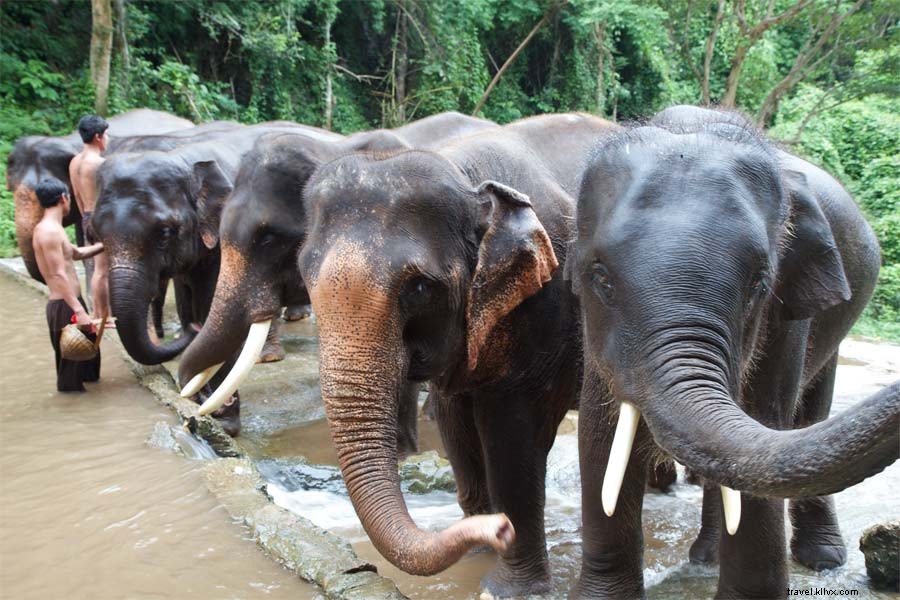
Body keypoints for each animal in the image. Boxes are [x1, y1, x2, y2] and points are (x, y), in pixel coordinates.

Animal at [274, 113, 615, 596]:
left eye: (418, 288)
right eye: (305, 275)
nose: (500, 528)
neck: (464, 174)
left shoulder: (543, 305)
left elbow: (512, 439)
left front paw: (507, 588)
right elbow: (455, 425)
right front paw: (479, 550)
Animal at [566, 105, 899, 599]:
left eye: (759, 284)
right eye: (600, 277)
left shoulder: (785, 316)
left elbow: (765, 421)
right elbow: (599, 433)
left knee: (810, 413)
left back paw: (821, 559)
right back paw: (707, 556)